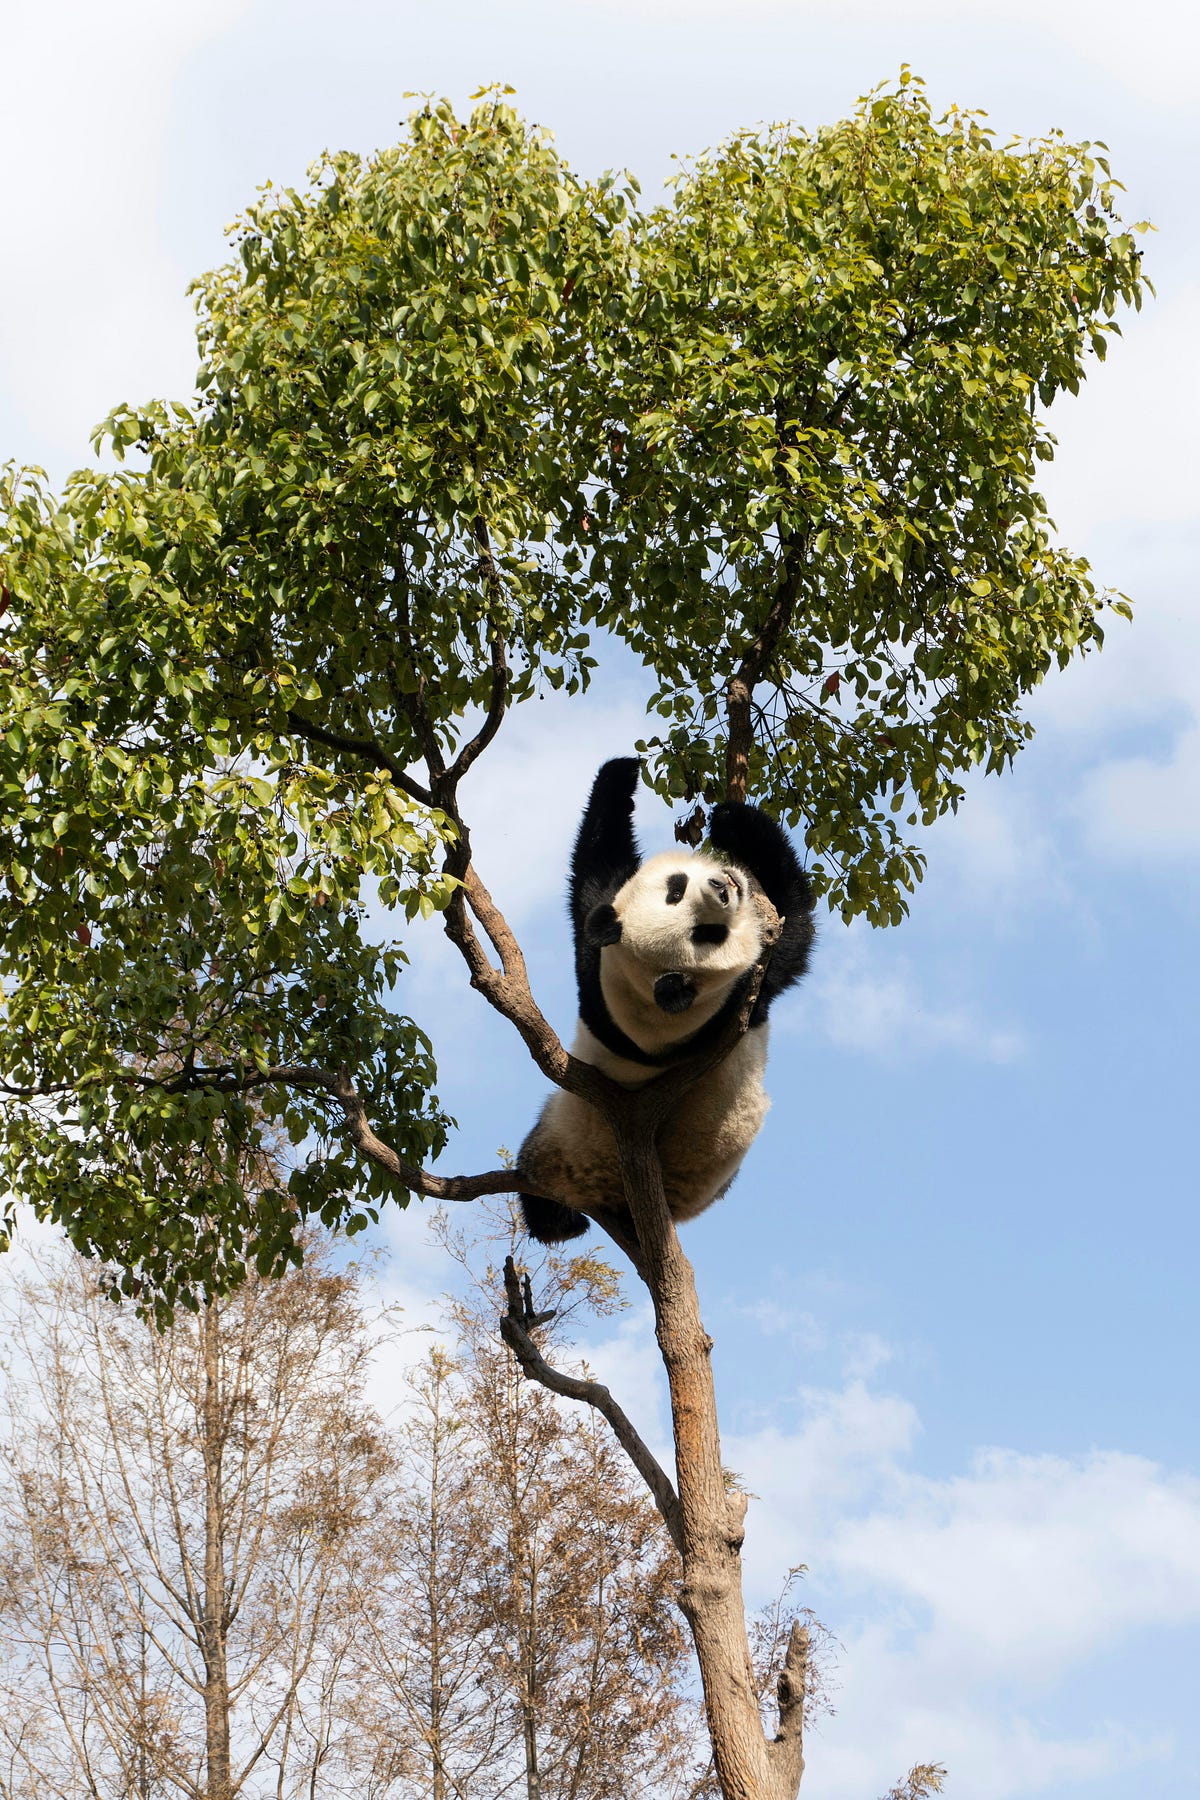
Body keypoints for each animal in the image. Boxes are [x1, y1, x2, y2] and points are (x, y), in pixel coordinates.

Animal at [517, 757, 814, 1244]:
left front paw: (621, 774)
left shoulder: (594, 960)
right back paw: (560, 1220)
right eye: (704, 934)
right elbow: (795, 931)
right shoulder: (741, 1001)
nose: (723, 887)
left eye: (675, 889)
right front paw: (737, 823)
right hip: (566, 1139)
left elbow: (594, 877)